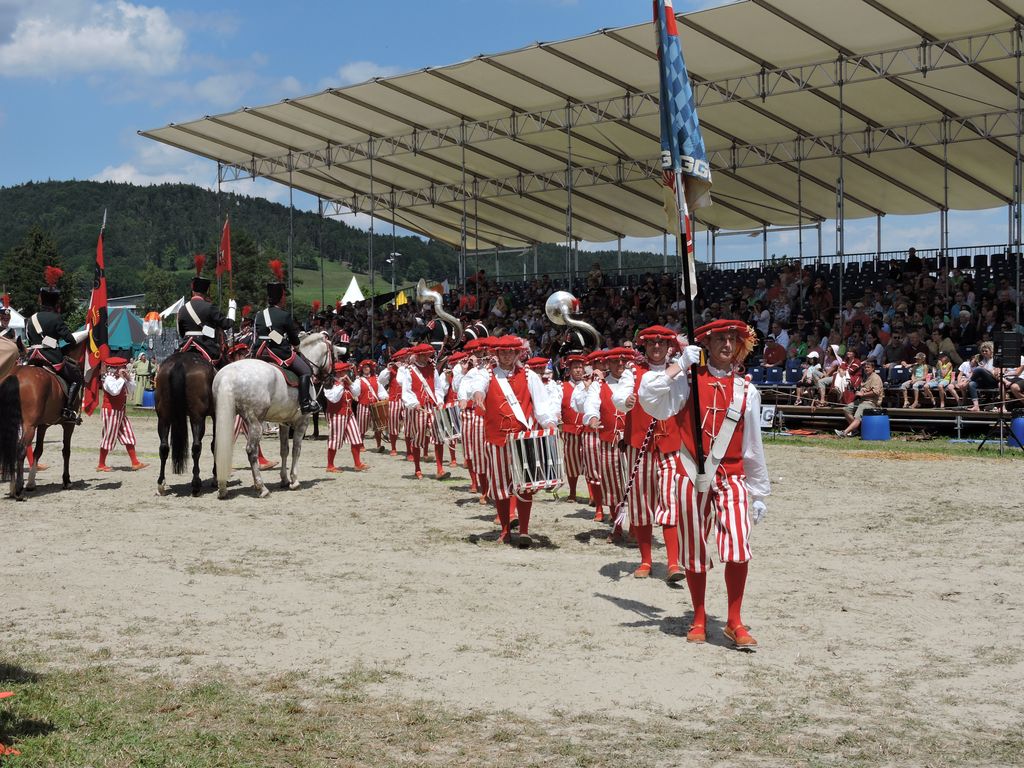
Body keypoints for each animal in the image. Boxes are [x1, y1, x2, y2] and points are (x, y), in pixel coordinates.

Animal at [5, 335, 86, 499]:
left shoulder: (42, 425)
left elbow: (38, 450)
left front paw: (31, 483)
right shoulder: (68, 424)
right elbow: (66, 451)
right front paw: (66, 480)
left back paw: (13, 487)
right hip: (29, 426)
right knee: (21, 449)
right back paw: (18, 489)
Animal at [154, 350, 217, 495]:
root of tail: (180, 362)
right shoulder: (216, 415)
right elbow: (214, 445)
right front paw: (216, 478)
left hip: (163, 417)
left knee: (163, 447)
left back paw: (161, 483)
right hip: (197, 417)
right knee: (196, 447)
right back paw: (196, 484)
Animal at [214, 333, 333, 501]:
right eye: (332, 353)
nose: (329, 379)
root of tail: (228, 375)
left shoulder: (283, 423)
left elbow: (284, 450)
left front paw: (284, 479)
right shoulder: (303, 422)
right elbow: (296, 449)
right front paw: (294, 480)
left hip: (225, 417)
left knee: (220, 447)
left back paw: (222, 488)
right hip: (255, 423)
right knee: (251, 451)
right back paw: (261, 488)